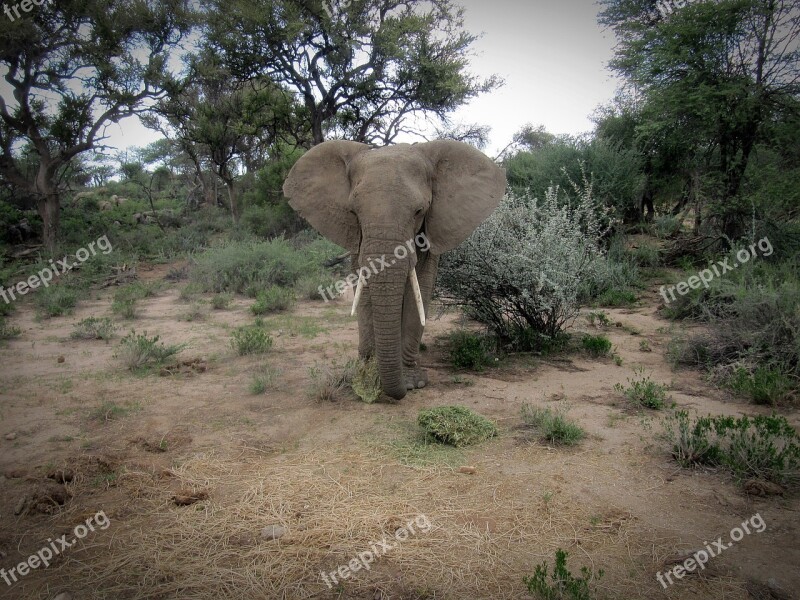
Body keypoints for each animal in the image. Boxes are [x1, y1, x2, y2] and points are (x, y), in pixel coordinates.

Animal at [284, 141, 504, 400]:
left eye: (419, 211)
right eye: (354, 213)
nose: (396, 392)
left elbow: (420, 289)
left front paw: (412, 383)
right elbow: (364, 293)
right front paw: (366, 378)